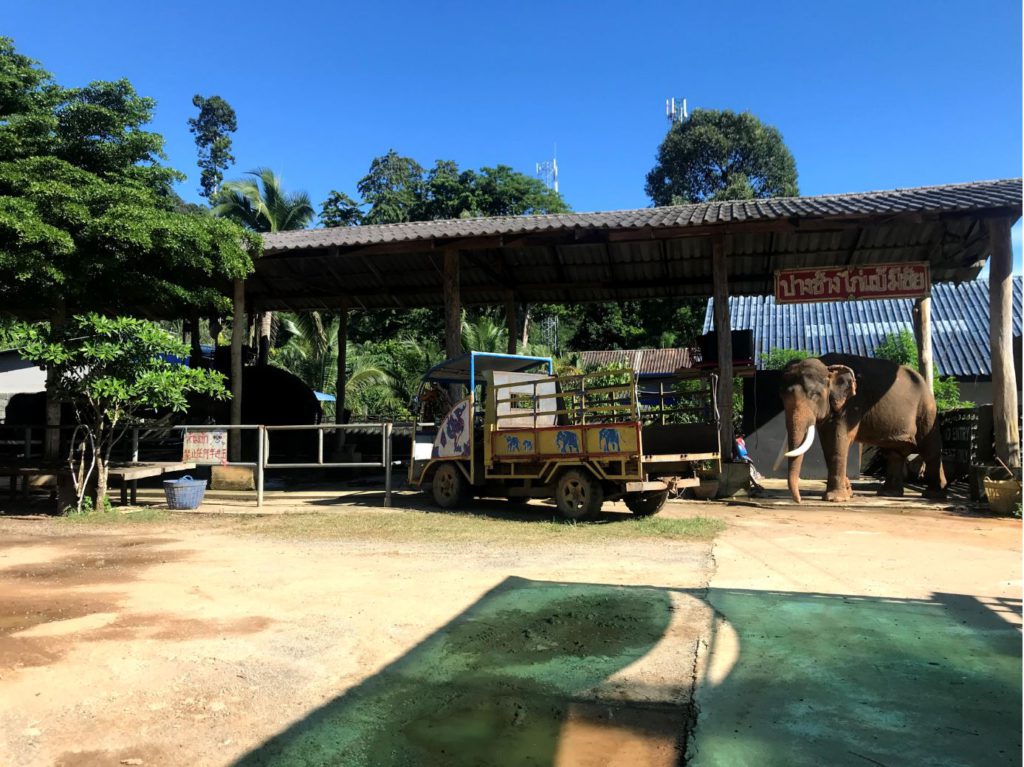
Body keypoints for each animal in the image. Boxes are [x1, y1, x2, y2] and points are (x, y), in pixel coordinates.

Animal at [782, 352, 942, 501]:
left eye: (815, 395)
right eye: (782, 397)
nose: (799, 500)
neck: (828, 367)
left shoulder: (852, 404)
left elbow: (838, 439)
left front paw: (836, 499)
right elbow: (828, 441)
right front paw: (847, 493)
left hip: (927, 410)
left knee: (930, 449)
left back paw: (932, 495)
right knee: (895, 453)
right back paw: (889, 493)